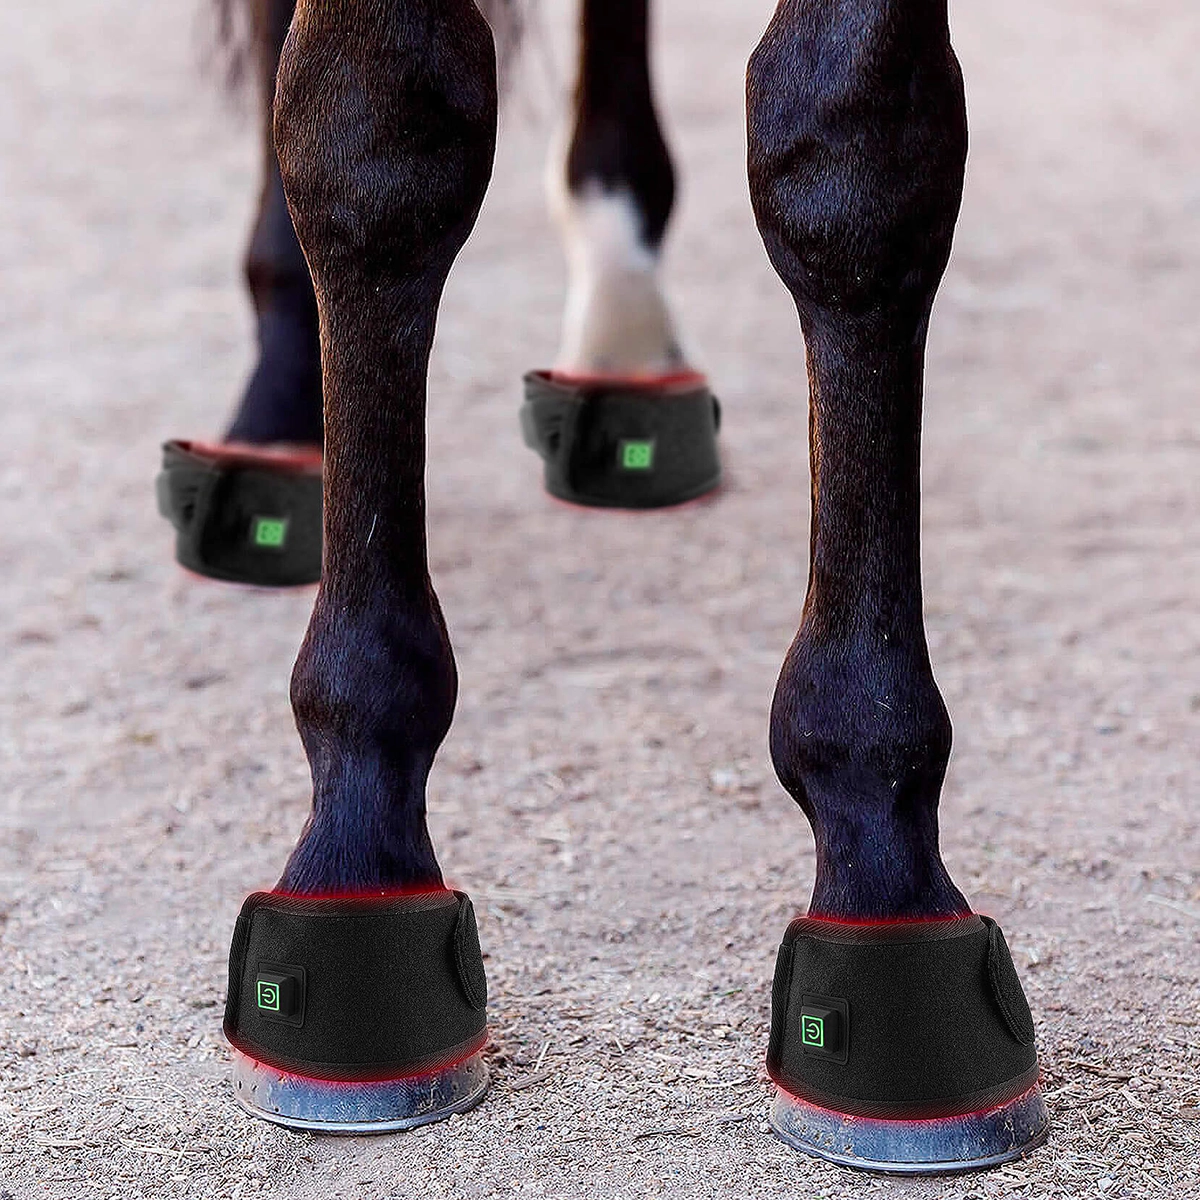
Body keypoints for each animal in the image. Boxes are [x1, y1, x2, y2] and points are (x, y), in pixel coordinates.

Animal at [172, 0, 1049, 1172]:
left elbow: (856, 162)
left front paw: (885, 873)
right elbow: (374, 140)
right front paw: (356, 848)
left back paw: (626, 351)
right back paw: (272, 427)